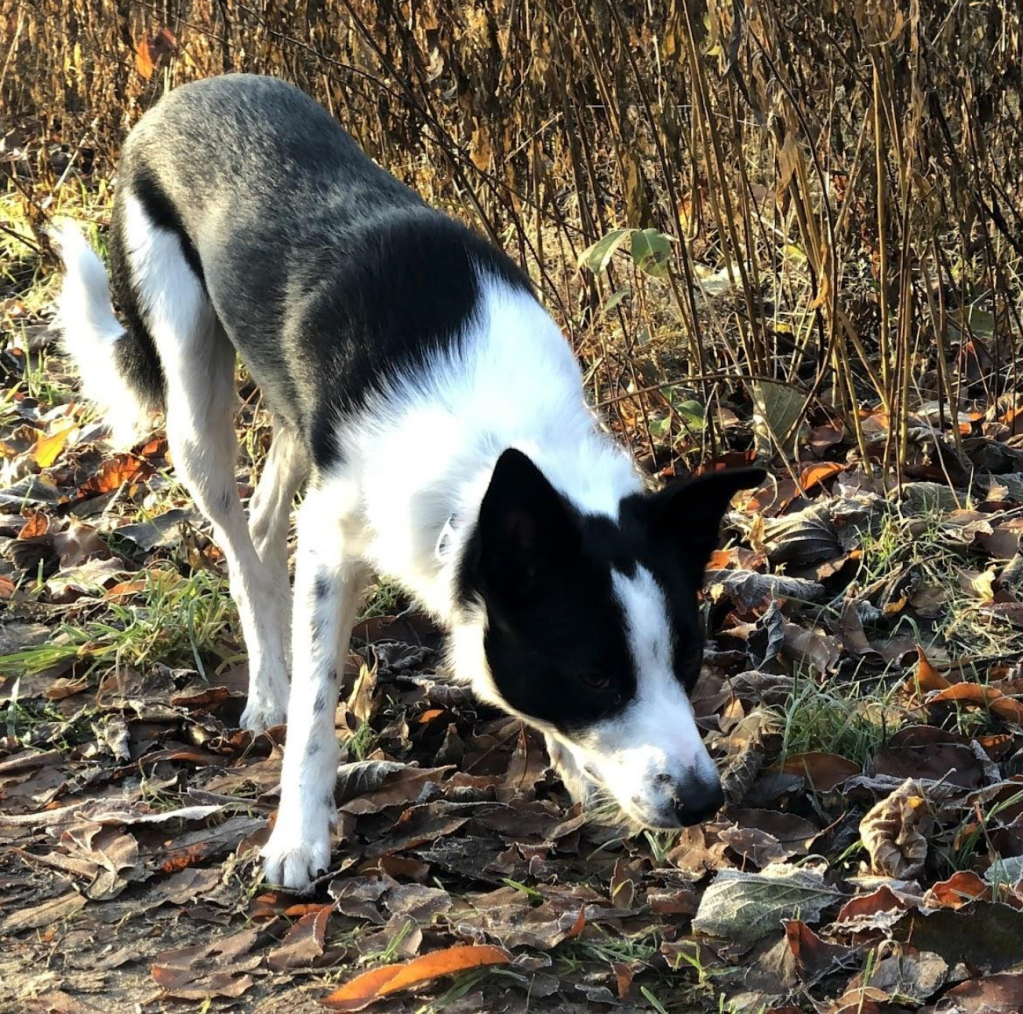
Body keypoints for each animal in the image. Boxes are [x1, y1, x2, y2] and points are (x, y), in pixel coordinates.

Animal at [54, 74, 763, 890]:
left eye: (688, 662)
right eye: (594, 678)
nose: (703, 802)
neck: (494, 432)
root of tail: (185, 94)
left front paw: (571, 766)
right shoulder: (333, 541)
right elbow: (316, 713)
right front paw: (299, 836)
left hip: (292, 418)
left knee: (264, 521)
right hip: (192, 395)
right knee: (237, 540)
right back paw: (268, 685)